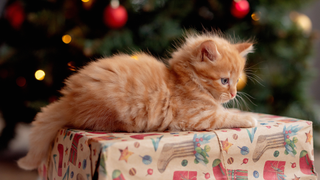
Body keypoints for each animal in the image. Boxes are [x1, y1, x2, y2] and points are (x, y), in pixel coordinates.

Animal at [17, 32, 258, 170]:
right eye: (224, 80)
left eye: (237, 80)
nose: (234, 94)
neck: (186, 80)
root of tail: (68, 99)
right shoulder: (196, 117)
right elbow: (225, 116)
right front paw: (250, 119)